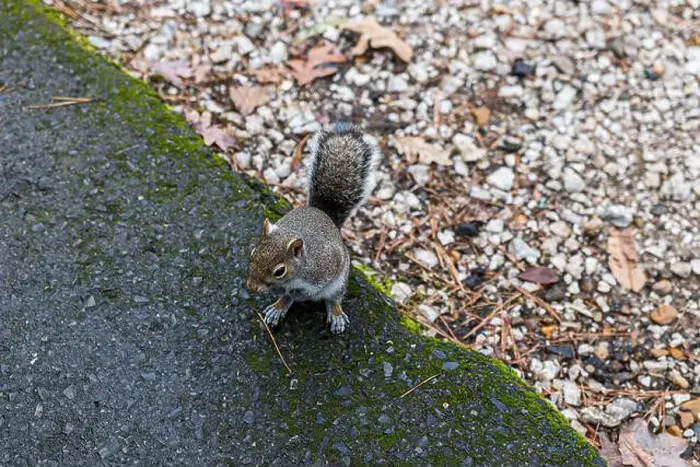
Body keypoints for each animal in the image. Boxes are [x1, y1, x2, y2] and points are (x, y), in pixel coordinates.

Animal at [246, 123, 380, 334]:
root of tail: (323, 214)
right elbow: (287, 294)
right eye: (253, 252)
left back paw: (336, 314)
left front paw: (298, 294)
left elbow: (307, 292)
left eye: (279, 271)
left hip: (340, 281)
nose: (251, 286)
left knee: (334, 298)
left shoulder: (326, 267)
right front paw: (282, 299)